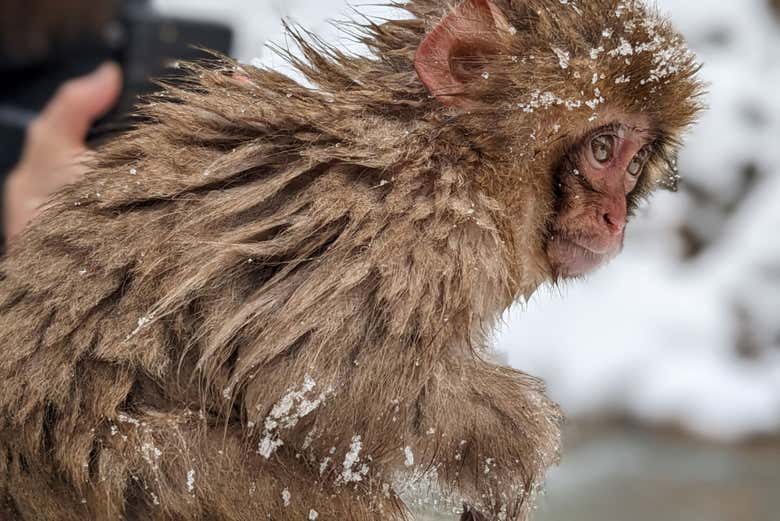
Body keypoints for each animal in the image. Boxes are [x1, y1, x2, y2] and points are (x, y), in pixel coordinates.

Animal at [0, 0, 702, 520]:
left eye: (636, 163)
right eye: (604, 148)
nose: (613, 218)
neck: (460, 156)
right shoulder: (420, 231)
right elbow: (308, 376)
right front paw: (517, 444)